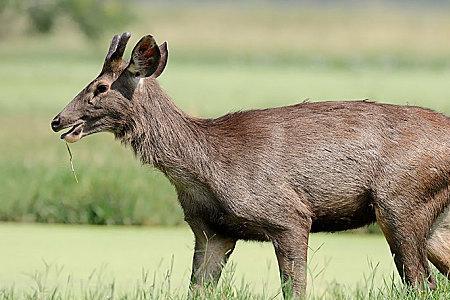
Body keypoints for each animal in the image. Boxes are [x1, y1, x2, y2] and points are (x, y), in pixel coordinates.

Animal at [51, 32, 450, 298]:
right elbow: (198, 289)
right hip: (433, 219)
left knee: (422, 283)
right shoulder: (211, 230)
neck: (203, 168)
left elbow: (295, 289)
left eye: (101, 87)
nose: (57, 120)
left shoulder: (289, 216)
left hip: (399, 203)